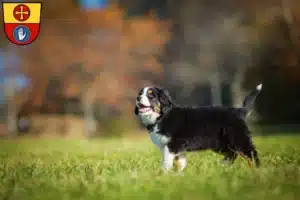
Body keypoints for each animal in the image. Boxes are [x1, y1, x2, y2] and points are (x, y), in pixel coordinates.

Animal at [134, 83, 262, 173]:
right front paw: (178, 174)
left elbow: (167, 160)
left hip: (238, 138)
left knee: (251, 154)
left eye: (150, 95)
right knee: (232, 154)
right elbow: (180, 161)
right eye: (140, 93)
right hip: (220, 143)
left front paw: (164, 173)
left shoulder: (173, 144)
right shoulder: (176, 147)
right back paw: (223, 166)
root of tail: (239, 111)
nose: (138, 98)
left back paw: (258, 170)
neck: (161, 116)